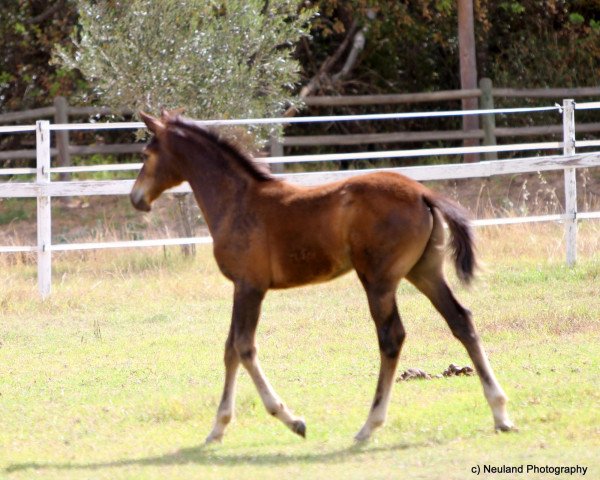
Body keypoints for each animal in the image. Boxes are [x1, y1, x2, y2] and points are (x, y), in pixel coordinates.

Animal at [130, 111, 510, 442]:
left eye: (146, 154)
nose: (136, 198)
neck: (237, 201)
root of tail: (422, 193)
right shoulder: (243, 287)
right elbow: (230, 349)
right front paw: (217, 429)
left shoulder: (249, 286)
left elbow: (243, 347)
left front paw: (291, 420)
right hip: (425, 272)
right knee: (461, 320)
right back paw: (500, 413)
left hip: (379, 281)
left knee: (391, 338)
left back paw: (369, 425)